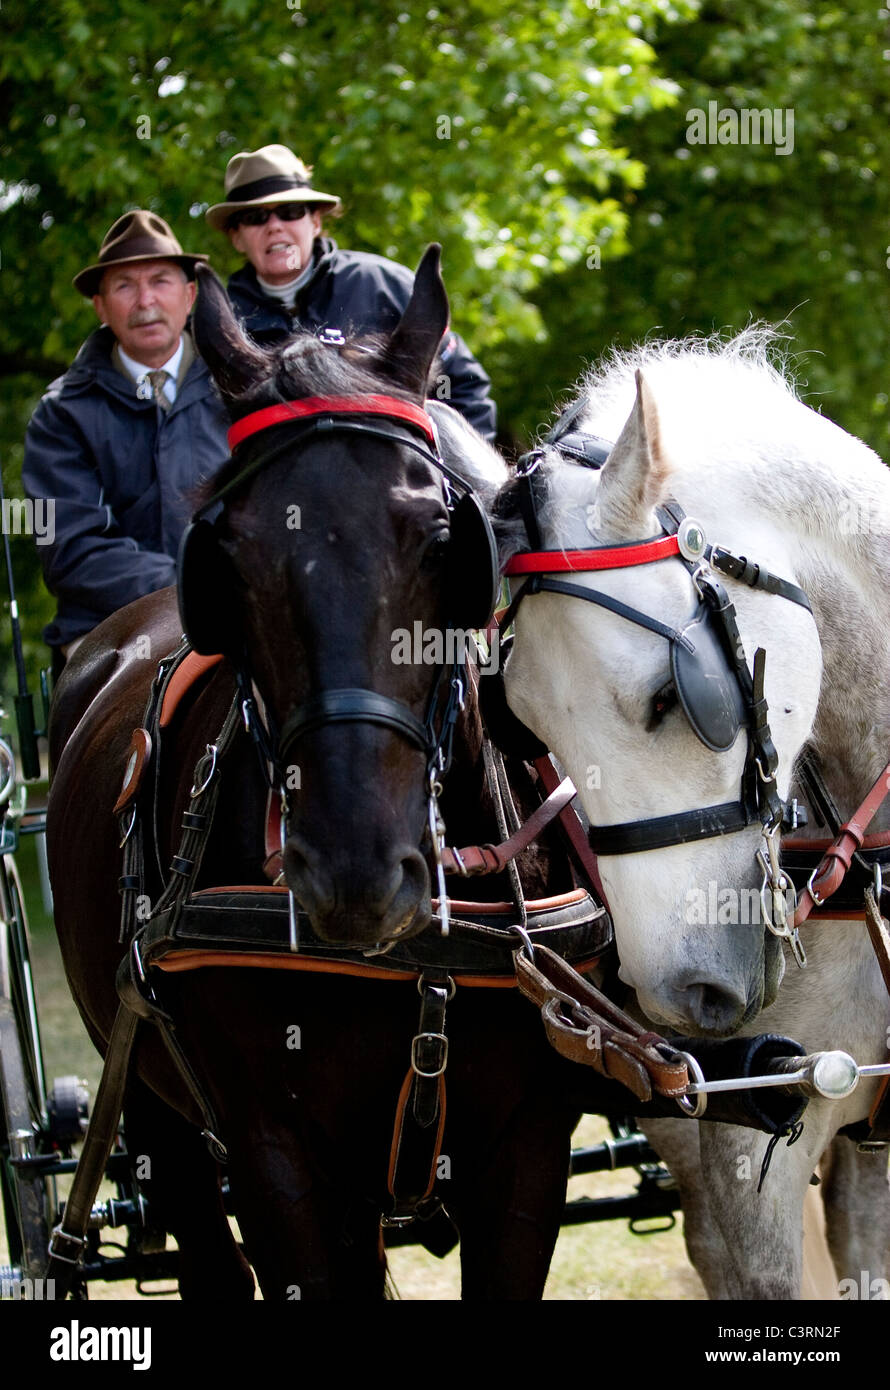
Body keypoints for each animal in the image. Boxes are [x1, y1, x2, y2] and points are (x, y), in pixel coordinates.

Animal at [45, 252, 595, 1301]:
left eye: (442, 540)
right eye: (229, 553)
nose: (354, 873)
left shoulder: (531, 1147)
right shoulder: (276, 1162)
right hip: (148, 1100)